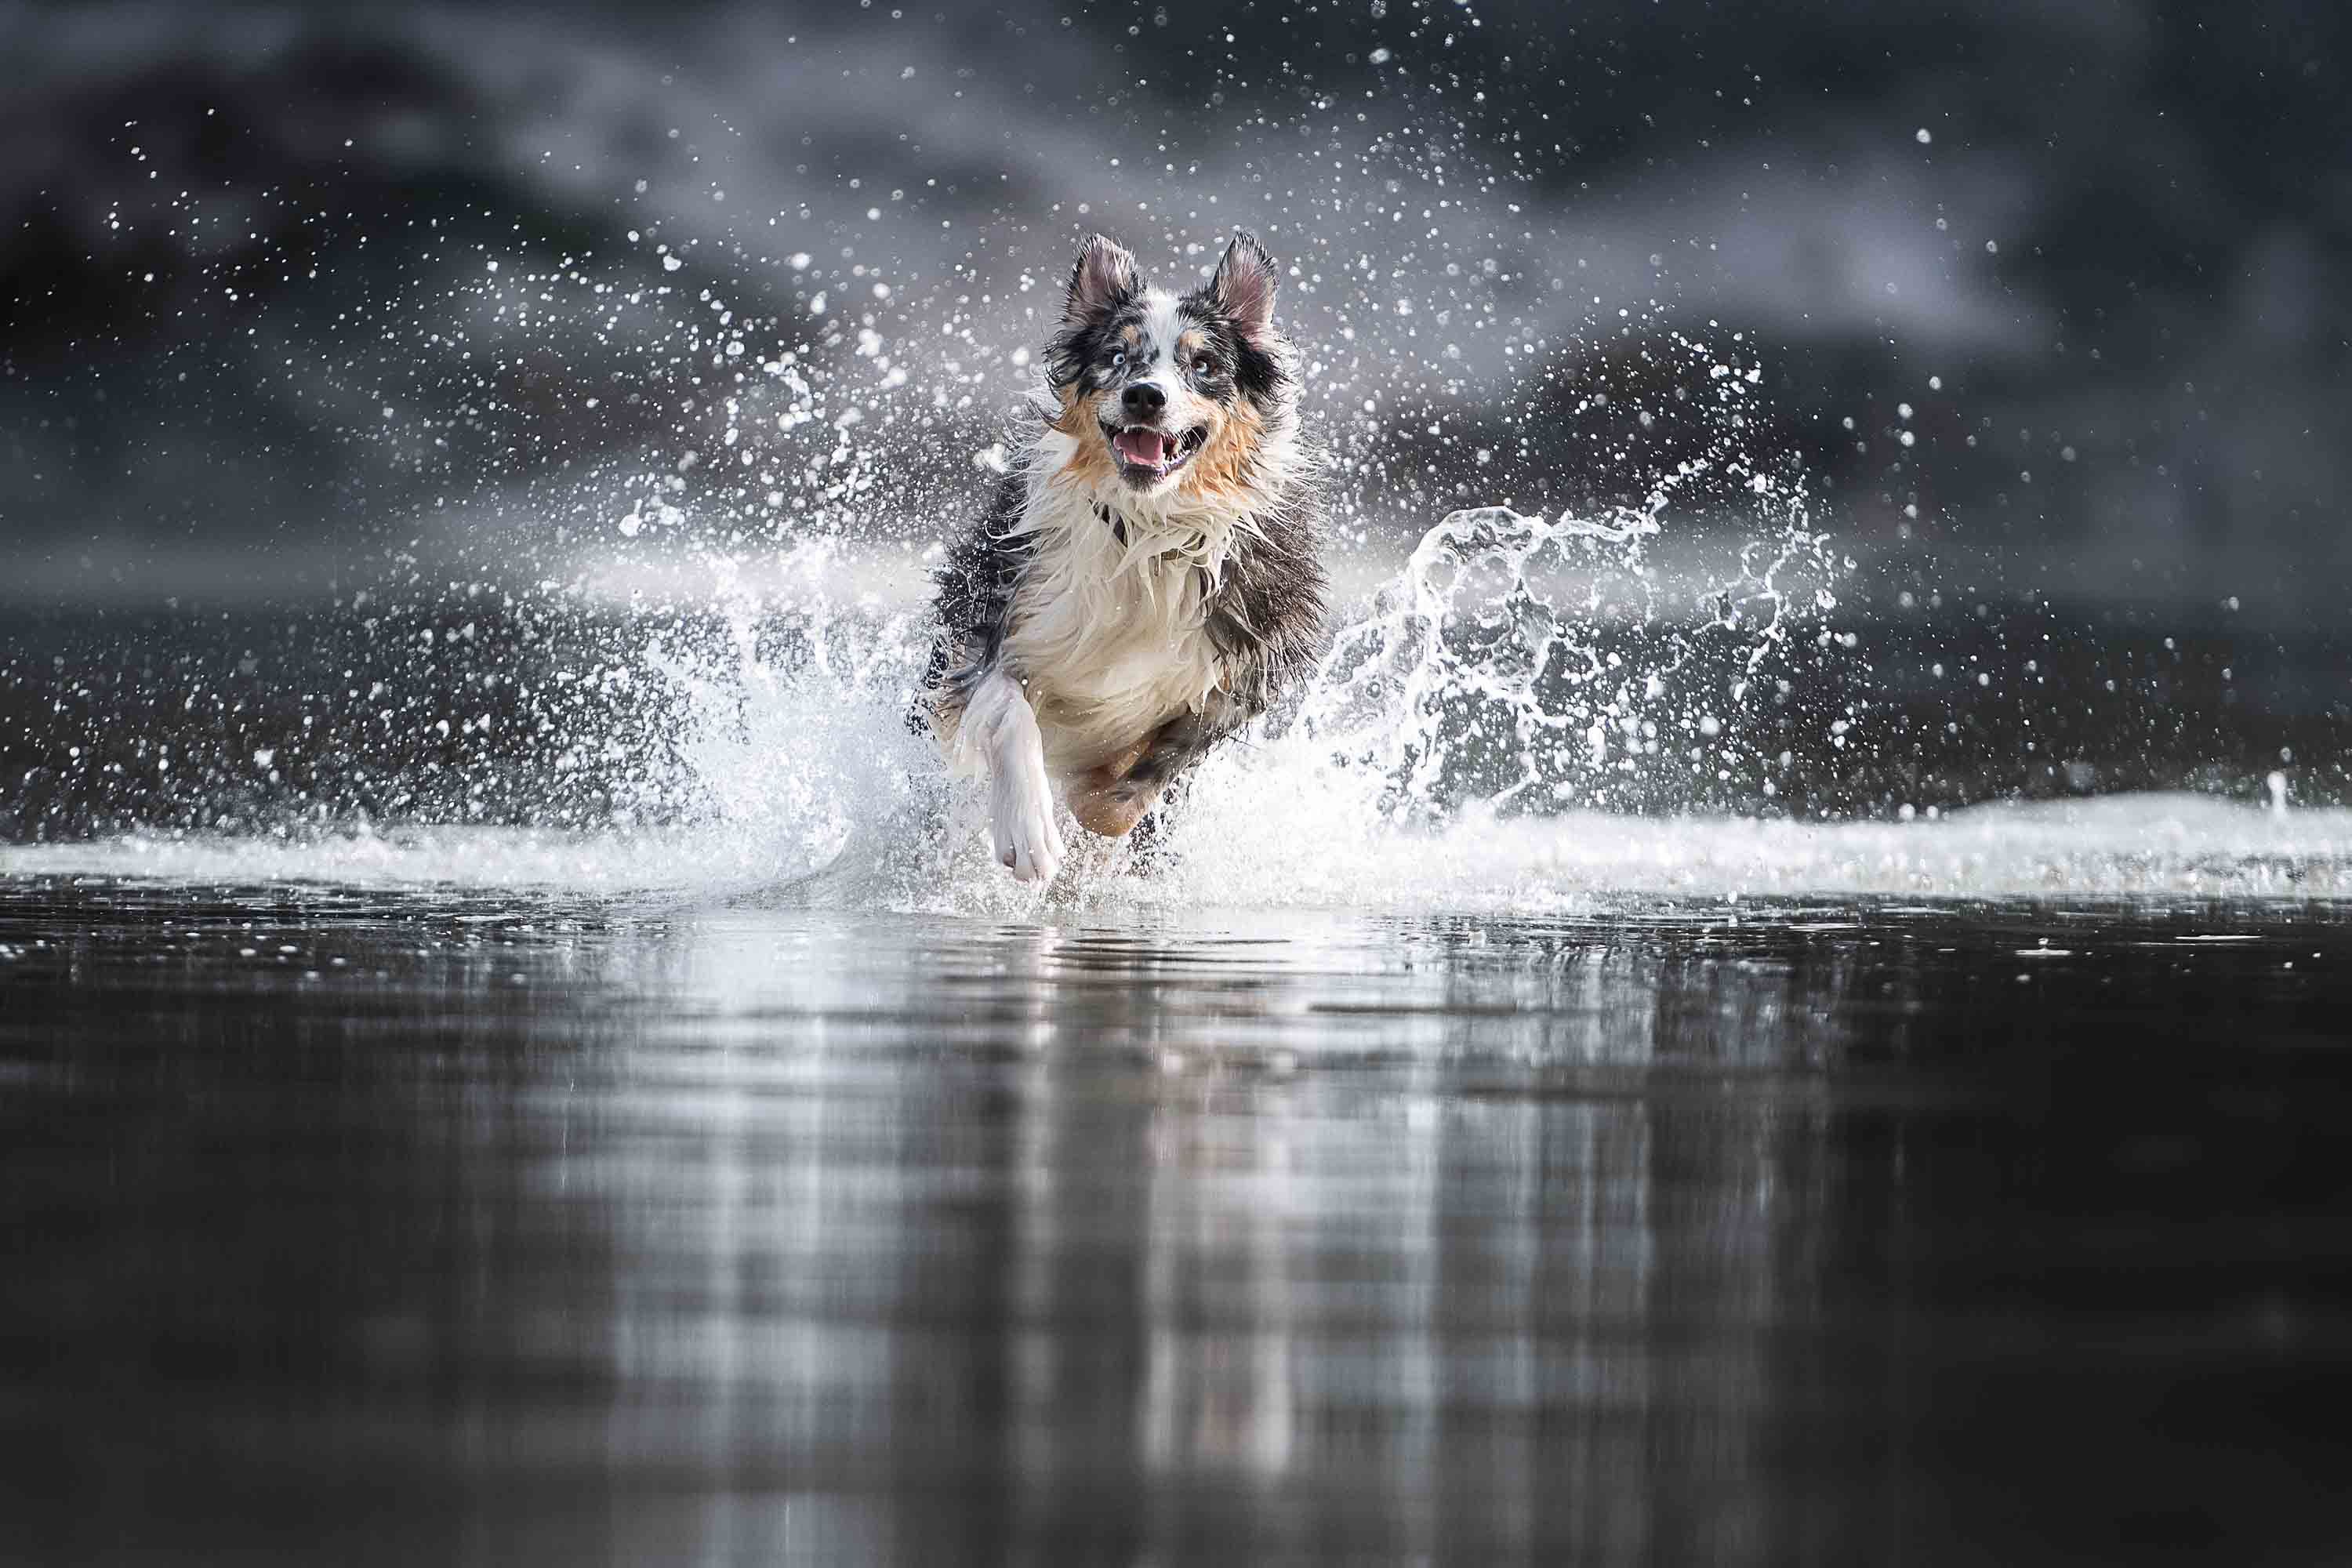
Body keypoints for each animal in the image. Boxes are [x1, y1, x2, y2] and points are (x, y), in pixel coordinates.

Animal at [917, 230, 1327, 884]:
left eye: (1203, 365)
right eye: (1116, 356)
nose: (1145, 396)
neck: (1144, 535)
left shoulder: (1254, 655)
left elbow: (1145, 778)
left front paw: (1097, 806)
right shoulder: (992, 614)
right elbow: (1006, 706)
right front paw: (1031, 834)